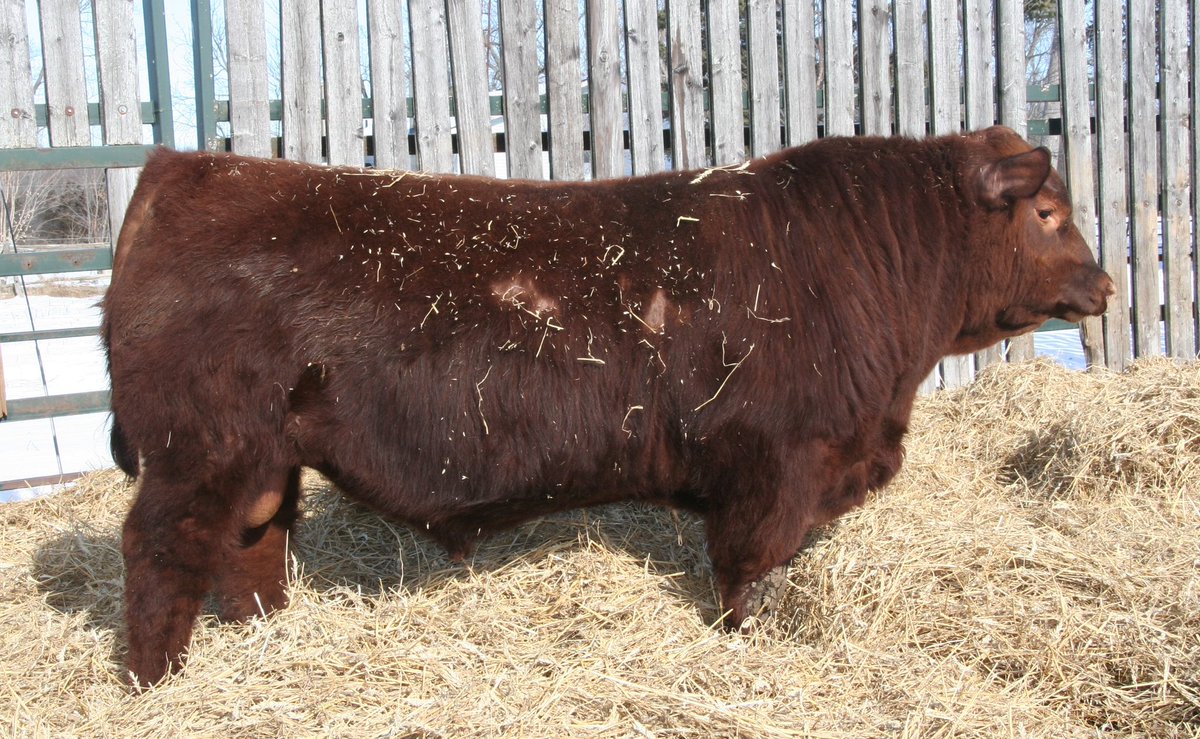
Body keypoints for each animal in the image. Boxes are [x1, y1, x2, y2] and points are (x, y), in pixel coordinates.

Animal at [103, 126, 1113, 687]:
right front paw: (743, 643)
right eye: (1050, 215)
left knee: (252, 541)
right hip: (196, 450)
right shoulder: (774, 468)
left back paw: (266, 638)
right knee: (160, 550)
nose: (1104, 286)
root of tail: (181, 170)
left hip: (261, 455)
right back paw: (156, 683)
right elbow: (746, 573)